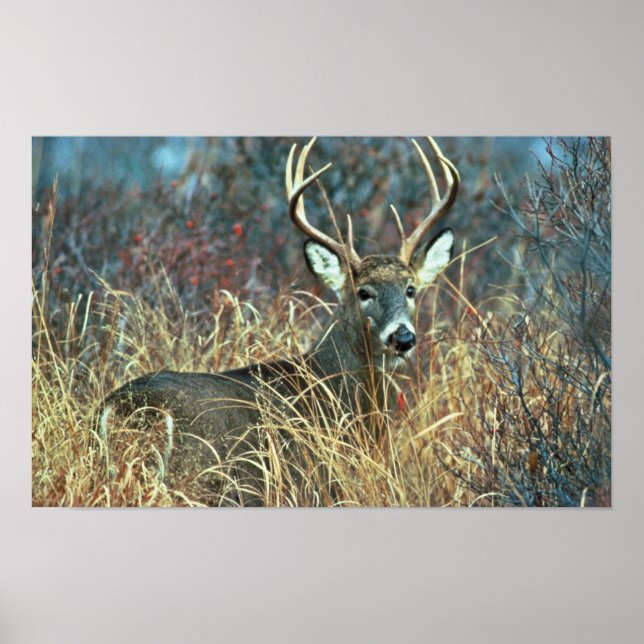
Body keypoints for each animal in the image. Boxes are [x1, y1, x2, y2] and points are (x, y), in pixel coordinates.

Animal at [97, 137, 459, 505]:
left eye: (411, 289)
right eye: (363, 292)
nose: (403, 338)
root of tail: (130, 409)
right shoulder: (315, 484)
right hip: (200, 479)